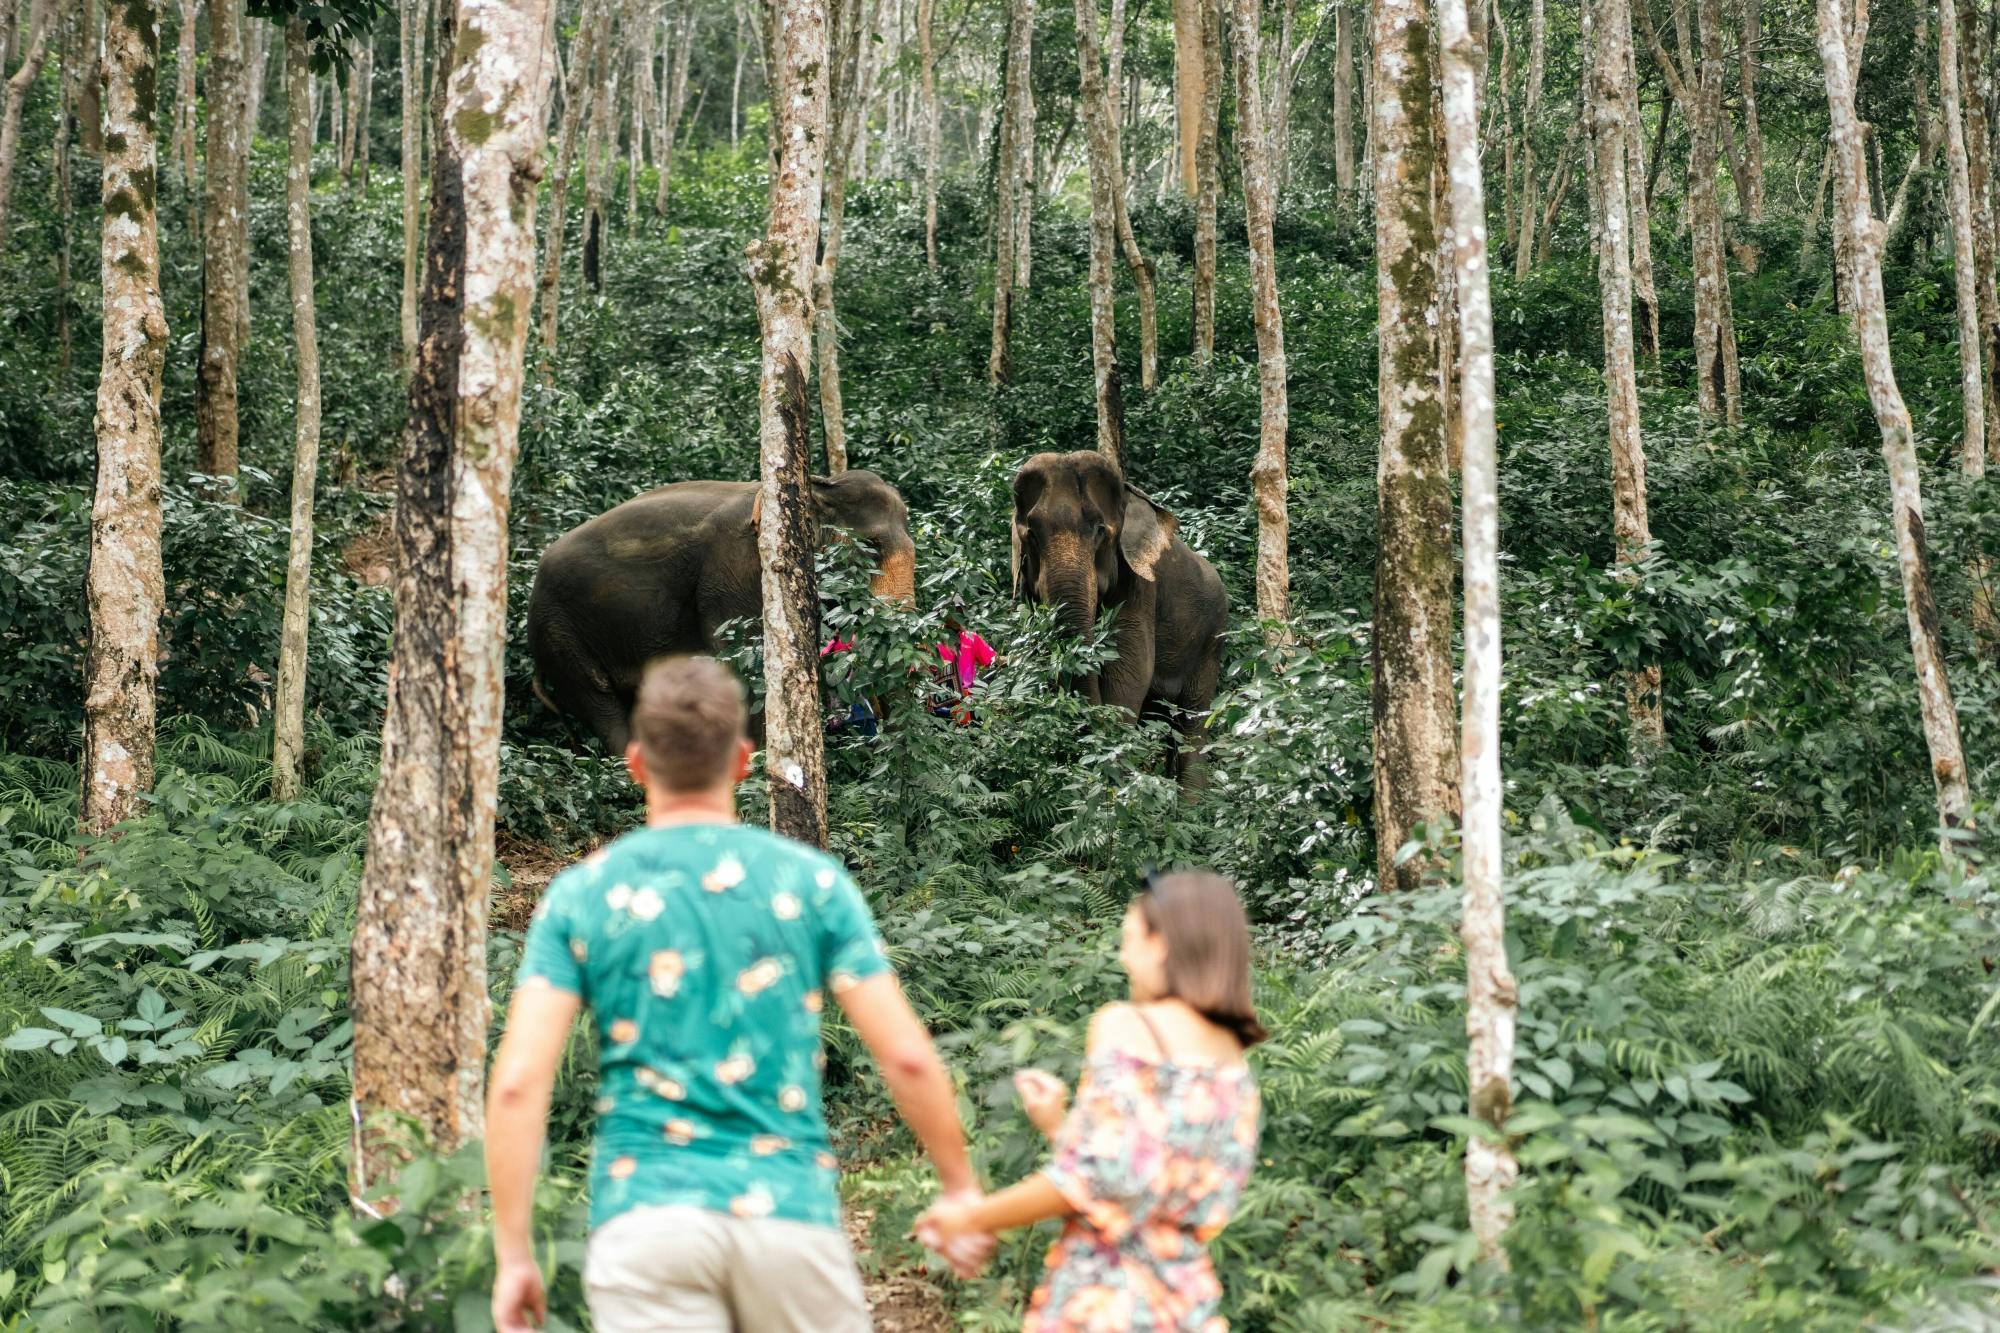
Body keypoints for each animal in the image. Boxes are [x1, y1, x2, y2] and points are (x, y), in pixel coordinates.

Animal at [1011, 451, 1227, 784]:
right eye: (1032, 535)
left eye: (1100, 530)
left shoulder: (1140, 584)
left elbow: (1130, 668)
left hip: (1211, 642)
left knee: (1193, 724)